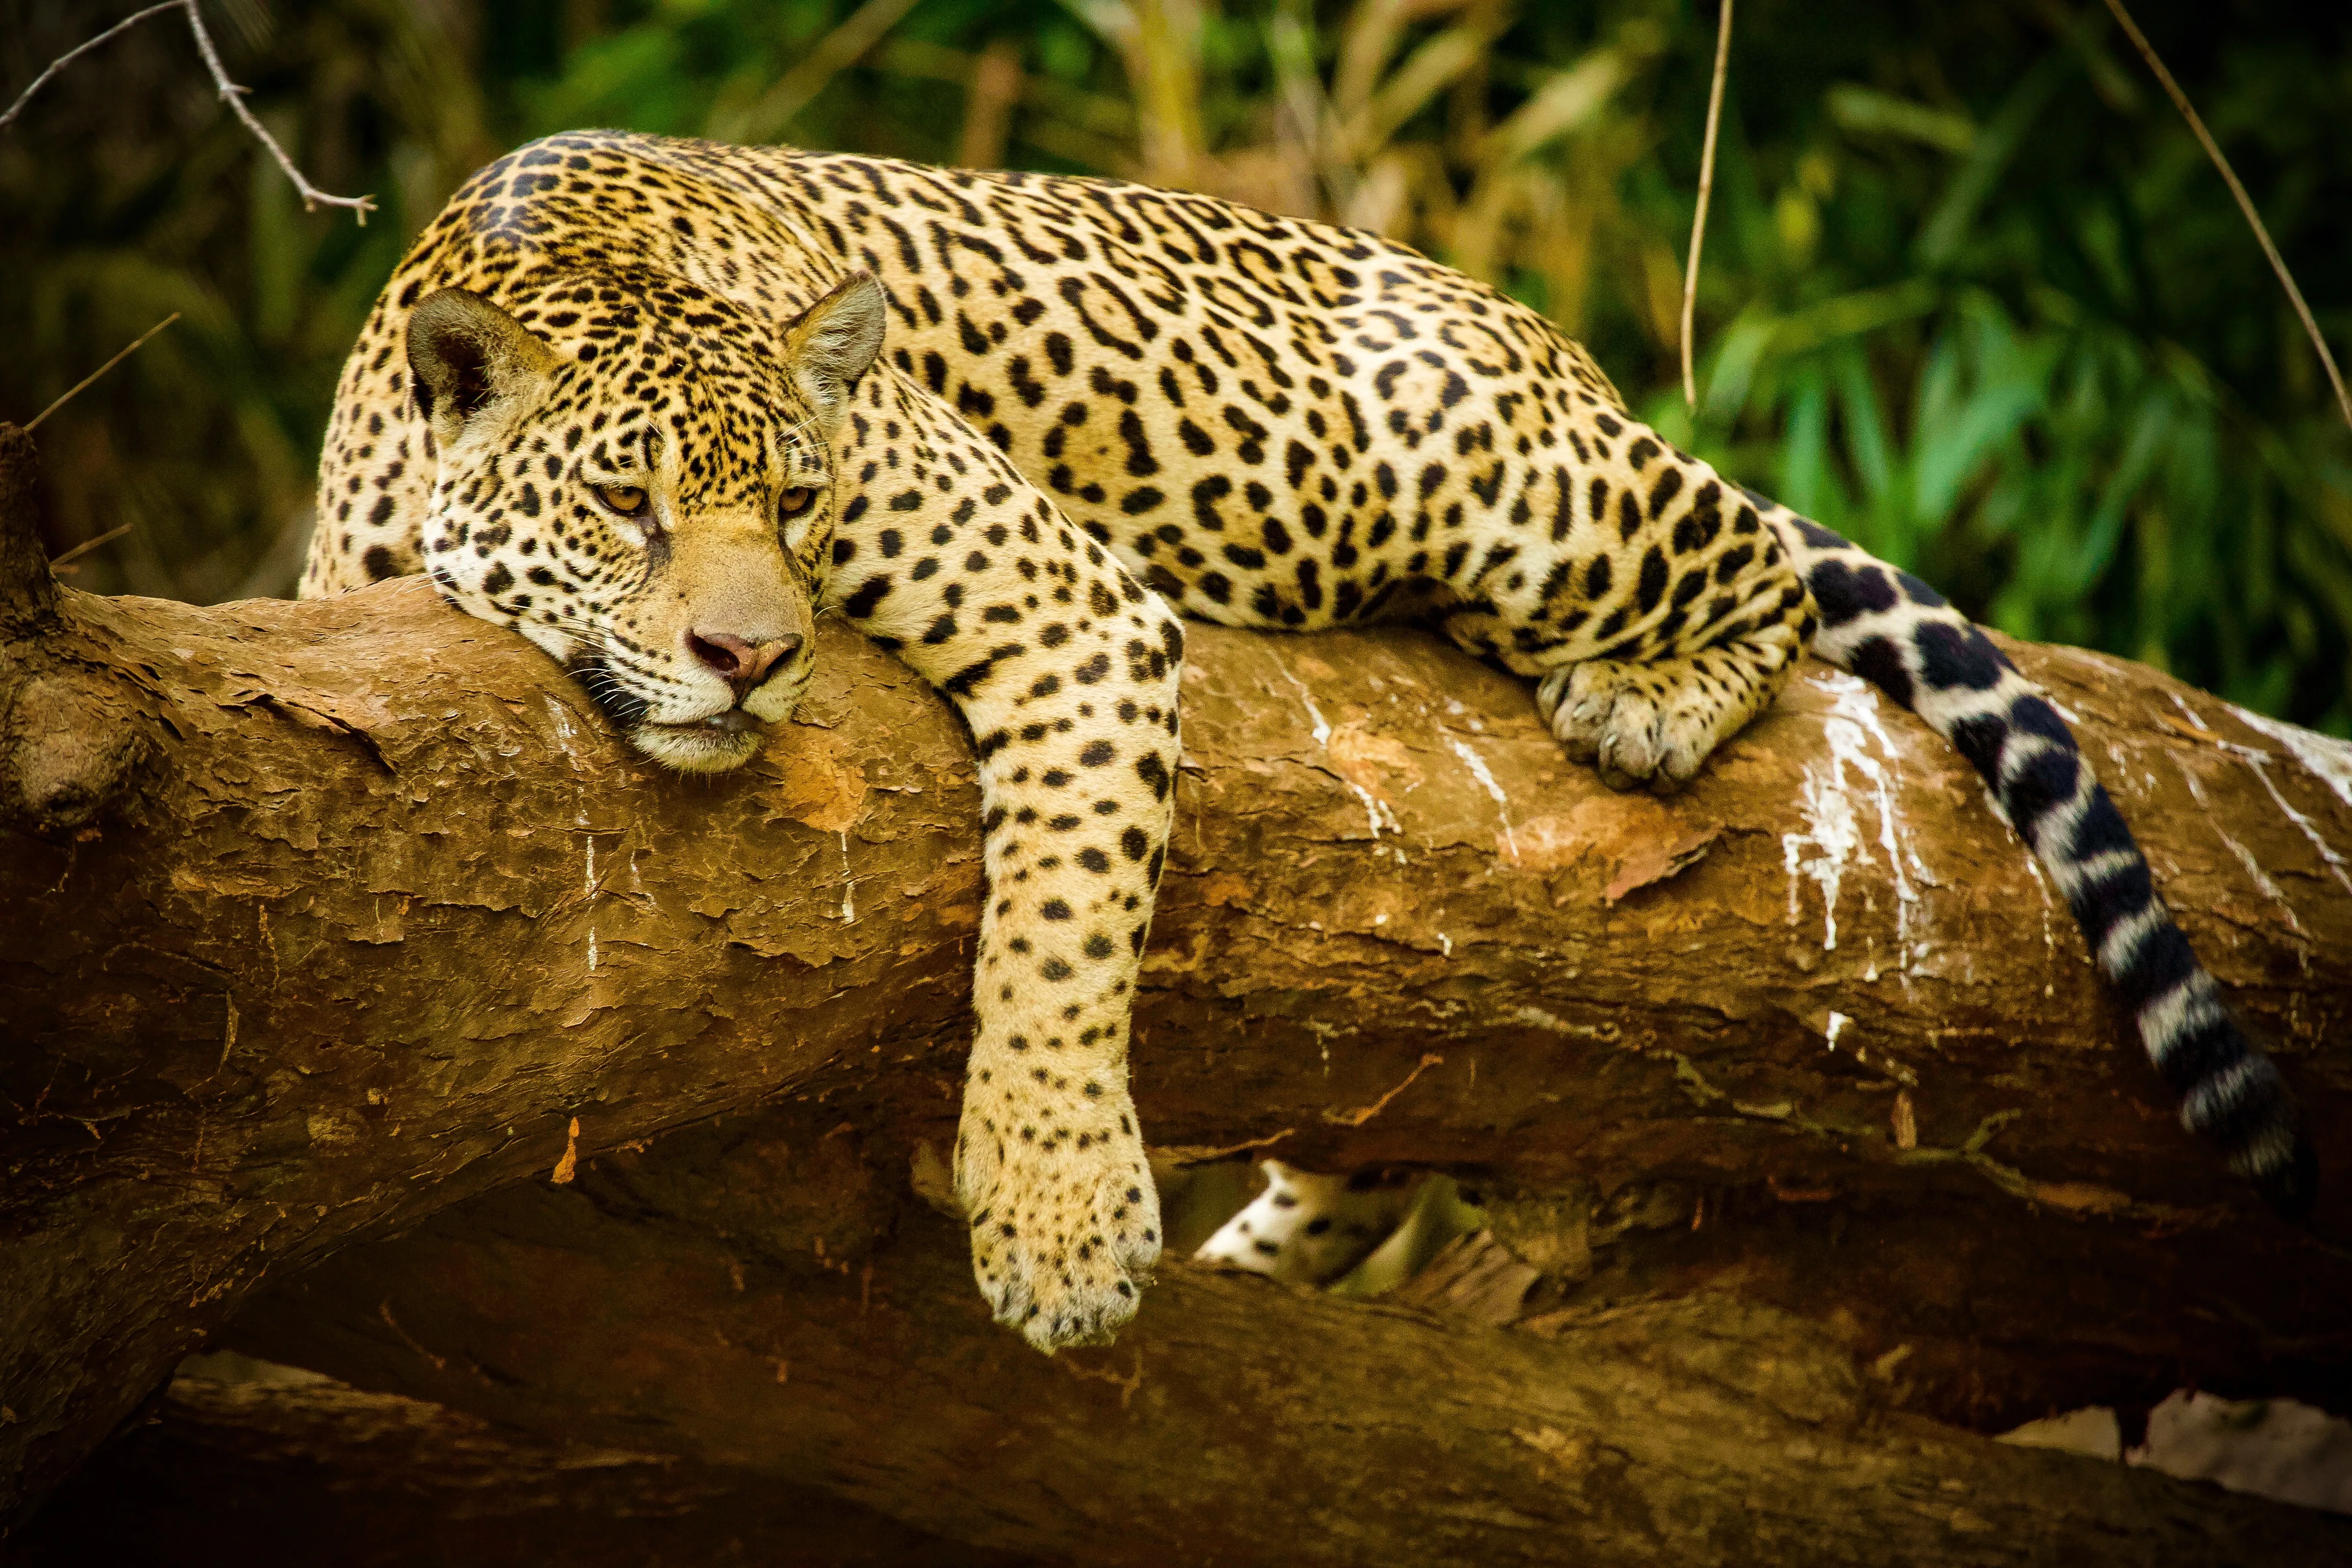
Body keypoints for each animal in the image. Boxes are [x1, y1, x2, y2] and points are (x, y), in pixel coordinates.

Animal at [303, 129, 2316, 1353]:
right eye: (626, 507)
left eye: (798, 502)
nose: (751, 654)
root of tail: (1543, 336)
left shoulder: (1075, 609)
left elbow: (1055, 936)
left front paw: (1055, 1223)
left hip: (1490, 474)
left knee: (1742, 544)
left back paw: (1644, 695)